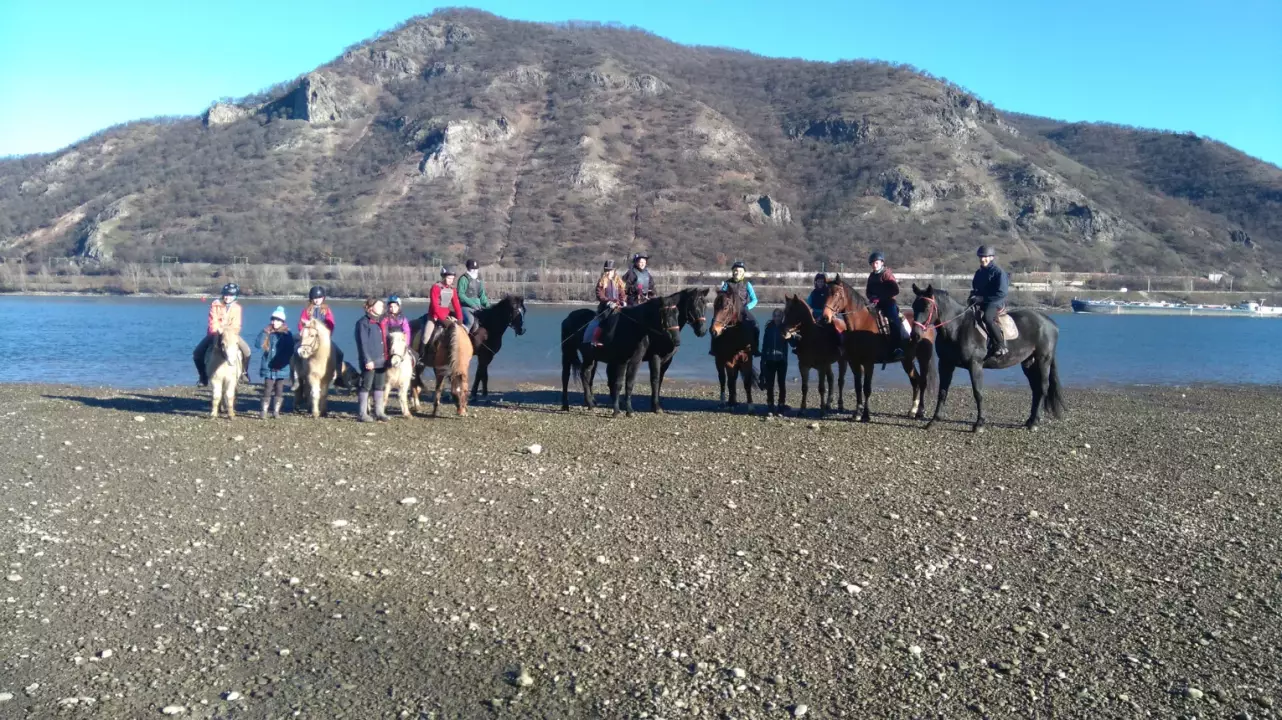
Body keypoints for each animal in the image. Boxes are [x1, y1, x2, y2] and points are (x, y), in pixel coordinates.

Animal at [561, 284, 712, 409]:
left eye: (705, 306)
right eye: (694, 306)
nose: (702, 330)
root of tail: (568, 317)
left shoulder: (667, 359)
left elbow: (660, 380)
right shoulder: (655, 357)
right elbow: (654, 379)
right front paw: (655, 407)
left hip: (591, 356)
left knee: (587, 375)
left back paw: (591, 401)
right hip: (568, 353)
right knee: (567, 376)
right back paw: (567, 405)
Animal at [825, 274, 938, 420]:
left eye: (837, 294)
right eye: (825, 293)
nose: (825, 316)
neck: (861, 324)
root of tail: (928, 324)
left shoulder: (868, 363)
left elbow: (867, 388)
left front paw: (866, 415)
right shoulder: (854, 363)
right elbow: (858, 387)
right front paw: (857, 413)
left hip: (923, 358)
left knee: (923, 382)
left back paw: (920, 411)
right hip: (907, 360)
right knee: (915, 381)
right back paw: (912, 410)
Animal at [912, 283, 1071, 430]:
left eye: (927, 306)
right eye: (914, 306)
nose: (916, 335)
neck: (957, 328)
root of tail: (1050, 322)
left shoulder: (975, 365)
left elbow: (978, 393)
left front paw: (979, 424)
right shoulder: (945, 364)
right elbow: (942, 392)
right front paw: (934, 421)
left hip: (1043, 360)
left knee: (1043, 387)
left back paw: (1034, 423)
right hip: (1028, 363)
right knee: (1036, 389)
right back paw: (1031, 420)